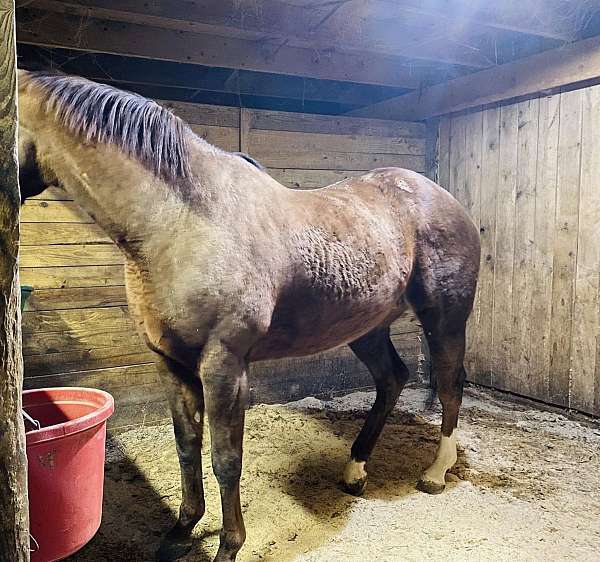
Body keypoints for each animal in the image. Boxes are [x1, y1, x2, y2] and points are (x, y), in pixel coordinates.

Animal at [16, 71, 480, 560]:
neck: (181, 225)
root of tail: (443, 198)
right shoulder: (170, 363)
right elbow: (186, 447)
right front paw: (181, 530)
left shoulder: (224, 366)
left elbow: (226, 460)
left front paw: (228, 546)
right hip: (365, 328)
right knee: (392, 379)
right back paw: (354, 471)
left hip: (445, 318)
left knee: (450, 385)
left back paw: (435, 473)